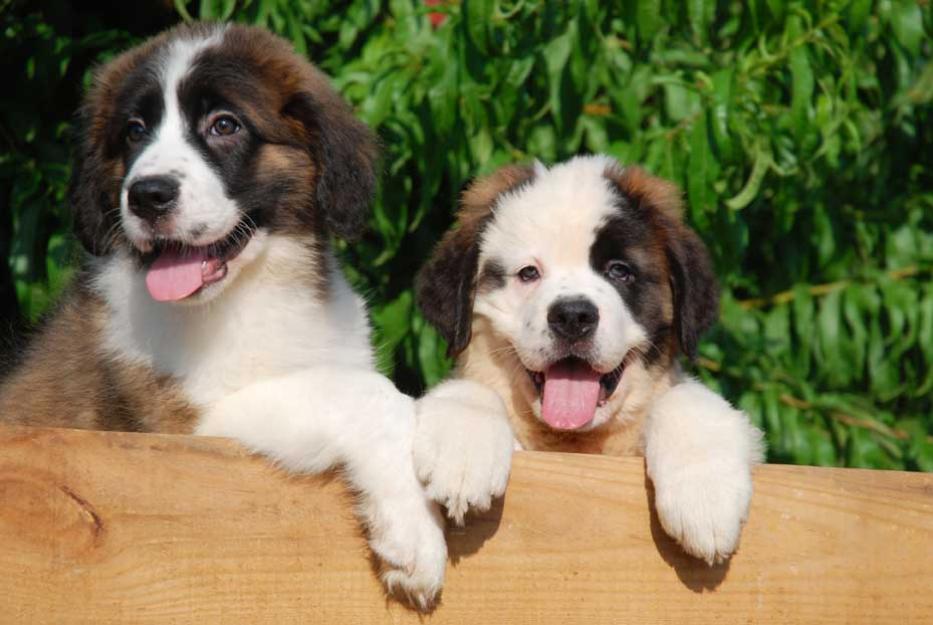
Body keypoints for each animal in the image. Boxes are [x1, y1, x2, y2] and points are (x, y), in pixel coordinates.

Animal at [0, 24, 444, 608]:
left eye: (224, 125)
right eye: (134, 132)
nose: (147, 195)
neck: (251, 291)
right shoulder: (190, 425)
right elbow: (370, 396)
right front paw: (415, 533)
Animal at [416, 155, 764, 560]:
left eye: (619, 271)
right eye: (529, 273)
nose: (573, 316)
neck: (575, 443)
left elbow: (687, 398)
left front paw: (705, 501)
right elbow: (472, 392)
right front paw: (462, 456)